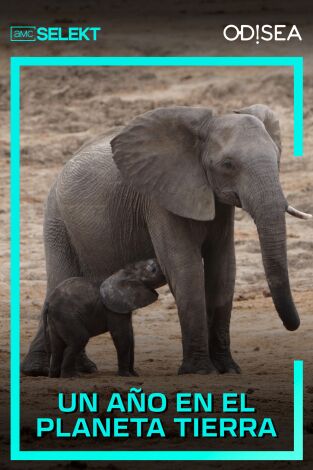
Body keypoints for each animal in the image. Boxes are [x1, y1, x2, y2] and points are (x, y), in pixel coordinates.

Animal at [22, 104, 310, 376]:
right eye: (228, 164)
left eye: (277, 158)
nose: (294, 325)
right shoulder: (159, 199)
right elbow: (185, 268)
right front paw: (200, 371)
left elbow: (223, 270)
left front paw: (228, 369)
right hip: (57, 222)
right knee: (60, 279)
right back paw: (39, 371)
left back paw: (80, 369)